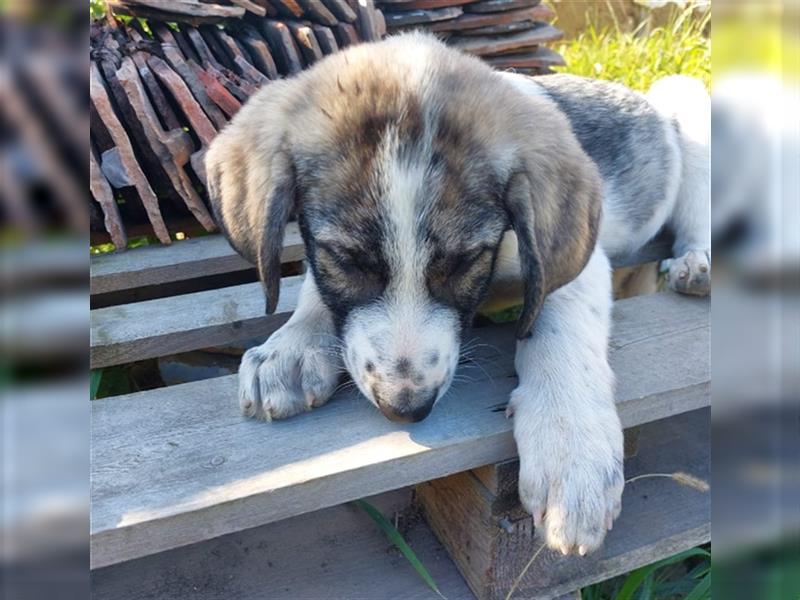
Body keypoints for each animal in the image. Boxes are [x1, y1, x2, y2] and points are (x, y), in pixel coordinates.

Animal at [203, 32, 708, 556]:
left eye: (466, 261)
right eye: (346, 258)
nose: (406, 408)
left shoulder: (574, 264)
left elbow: (560, 328)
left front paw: (571, 448)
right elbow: (317, 290)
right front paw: (292, 347)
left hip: (689, 103)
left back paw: (696, 266)